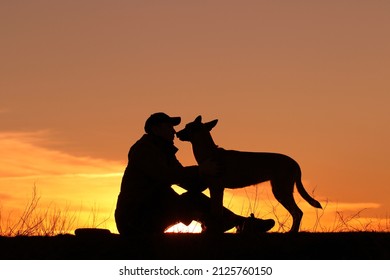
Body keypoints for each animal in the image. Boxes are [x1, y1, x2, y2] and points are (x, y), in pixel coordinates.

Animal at [177, 115, 322, 232]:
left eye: (187, 127)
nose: (177, 133)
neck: (209, 154)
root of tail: (295, 163)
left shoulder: (217, 188)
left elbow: (217, 211)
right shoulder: (215, 188)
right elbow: (215, 210)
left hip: (281, 191)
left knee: (298, 212)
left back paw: (292, 232)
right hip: (281, 191)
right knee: (297, 213)